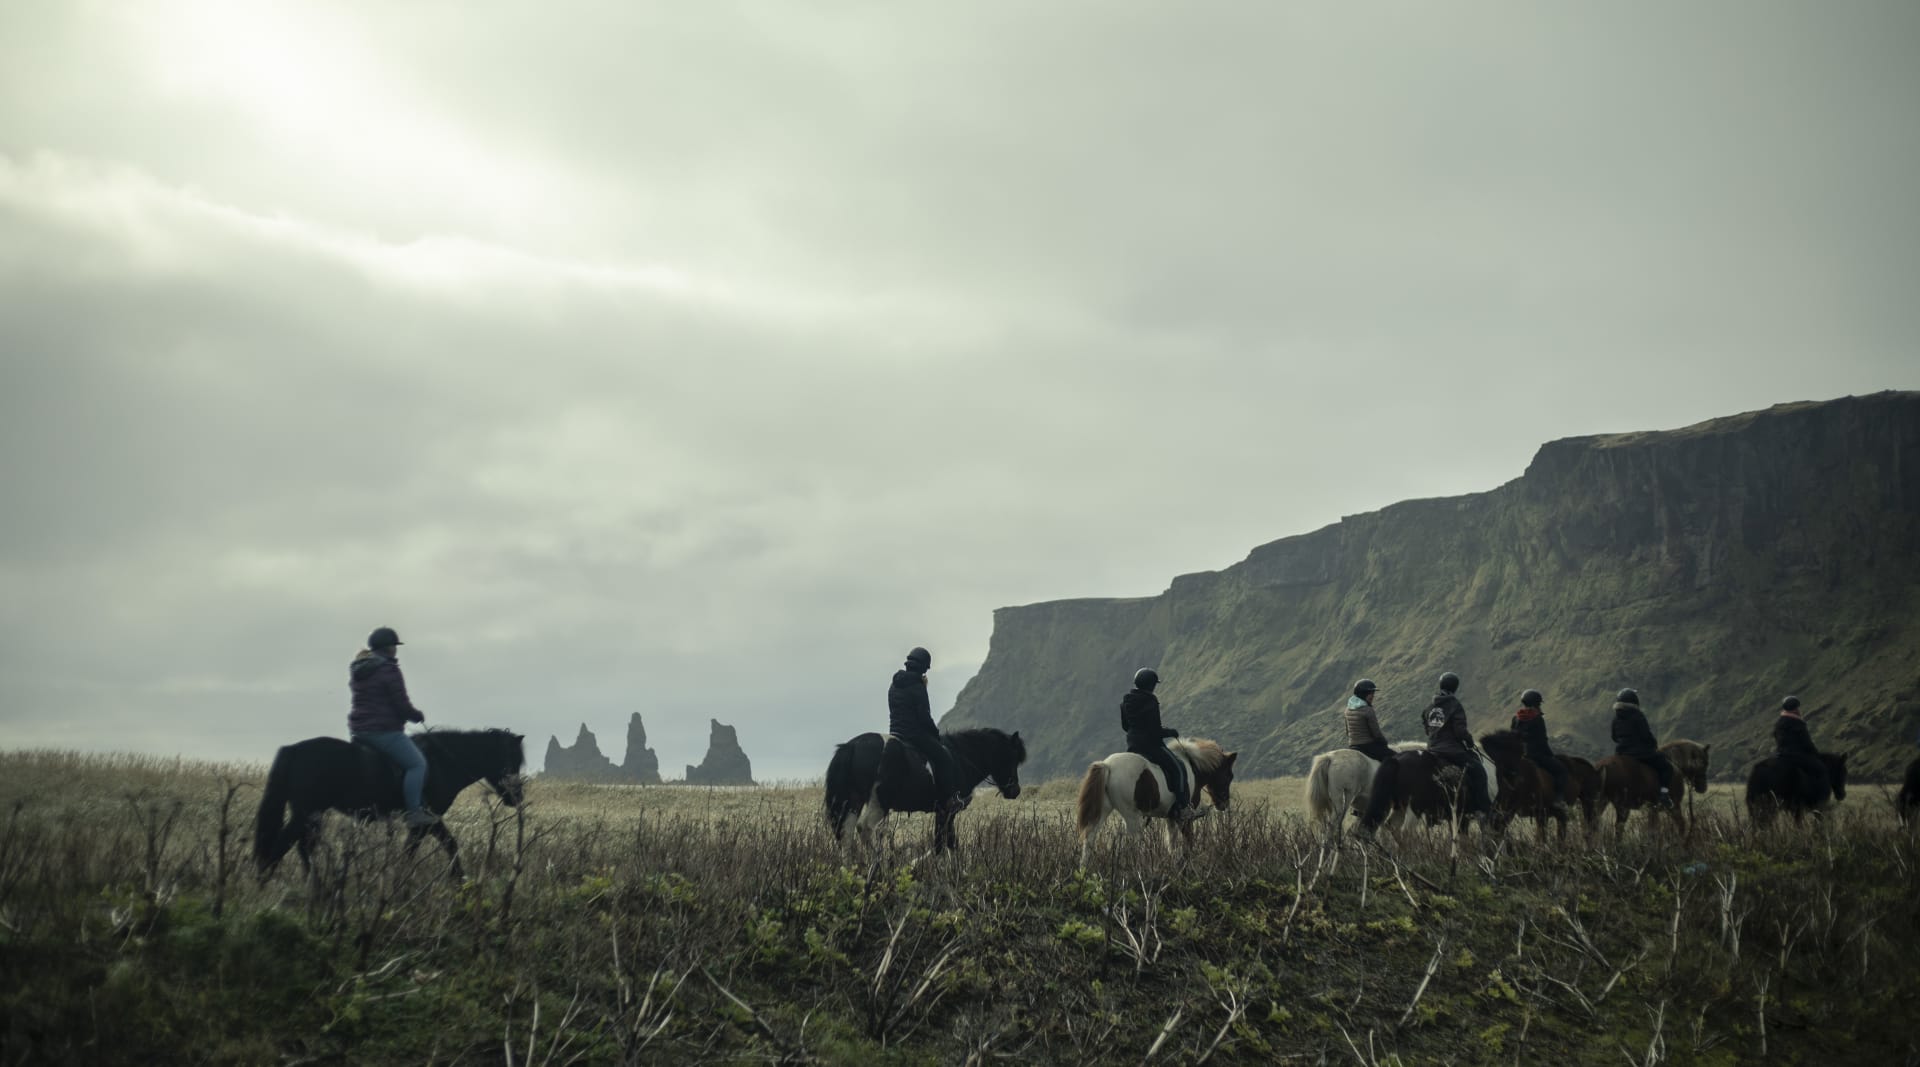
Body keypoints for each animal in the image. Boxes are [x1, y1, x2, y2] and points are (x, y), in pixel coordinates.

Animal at [255, 729, 529, 878]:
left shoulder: (424, 823)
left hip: (309, 814)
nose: (516, 797)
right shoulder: (428, 819)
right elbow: (445, 845)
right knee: (281, 847)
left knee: (301, 848)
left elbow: (420, 849)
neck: (442, 763)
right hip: (306, 812)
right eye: (512, 760)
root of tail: (294, 749)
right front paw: (459, 881)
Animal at [825, 729, 1036, 855]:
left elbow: (947, 841)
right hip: (880, 803)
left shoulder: (943, 812)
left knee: (846, 833)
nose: (1015, 790)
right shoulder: (947, 811)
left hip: (854, 801)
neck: (960, 758)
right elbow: (943, 843)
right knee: (864, 828)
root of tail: (851, 746)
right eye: (1012, 757)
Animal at [1075, 736, 1236, 863]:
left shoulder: (1171, 817)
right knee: (1135, 842)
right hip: (1131, 815)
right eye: (1229, 776)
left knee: (1090, 838)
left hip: (1104, 810)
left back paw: (1084, 869)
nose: (1223, 804)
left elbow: (1171, 842)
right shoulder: (1185, 817)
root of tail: (1108, 765)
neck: (1192, 767)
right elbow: (1188, 840)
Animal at [1359, 740, 1505, 840]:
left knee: (1391, 826)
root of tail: (1396, 760)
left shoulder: (1458, 816)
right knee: (1406, 831)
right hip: (1414, 809)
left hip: (1399, 807)